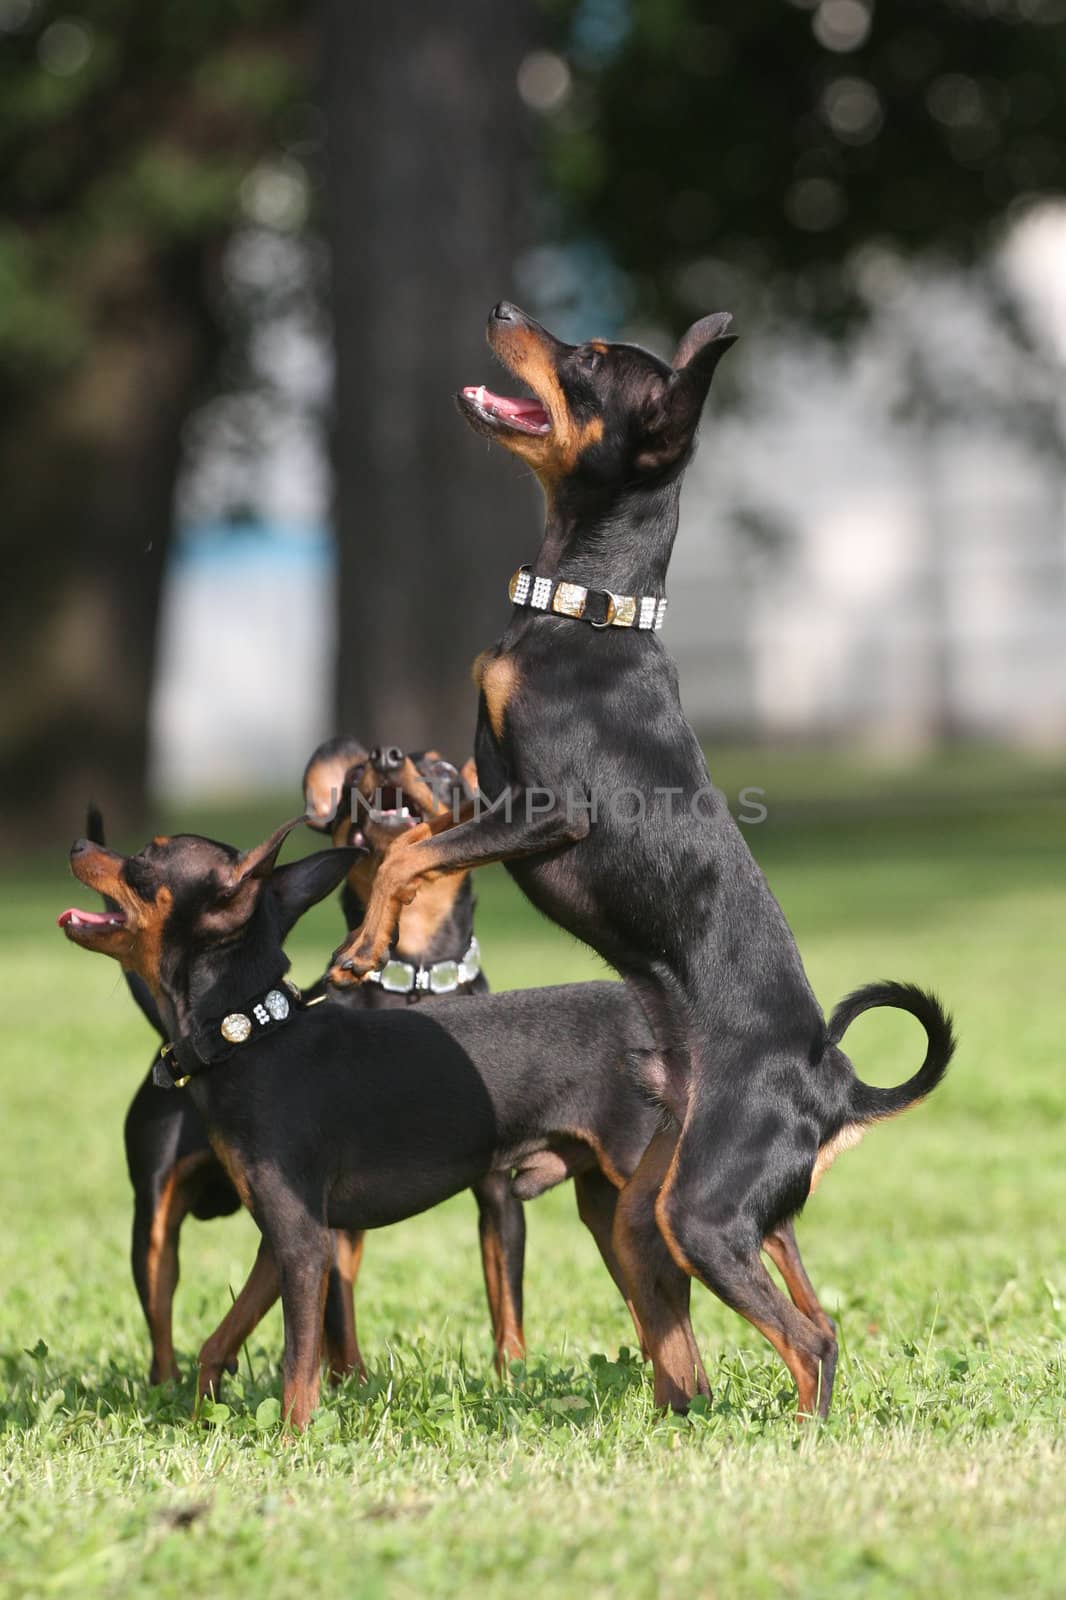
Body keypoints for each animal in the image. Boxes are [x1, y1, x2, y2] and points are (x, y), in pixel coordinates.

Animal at [62, 819, 659, 1433]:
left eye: (148, 857)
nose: (78, 845)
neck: (250, 1034)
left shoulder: (302, 1243)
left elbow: (298, 1364)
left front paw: (291, 1441)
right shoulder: (286, 1240)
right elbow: (218, 1341)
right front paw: (208, 1410)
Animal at [328, 302, 947, 1427]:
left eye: (584, 361)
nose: (503, 311)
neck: (586, 610)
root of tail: (833, 1084)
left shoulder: (543, 810)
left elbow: (413, 855)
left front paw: (360, 950)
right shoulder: (486, 797)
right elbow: (408, 849)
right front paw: (369, 938)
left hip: (702, 1211)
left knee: (811, 1343)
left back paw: (799, 1441)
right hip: (649, 1209)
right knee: (720, 1346)